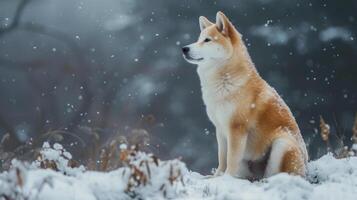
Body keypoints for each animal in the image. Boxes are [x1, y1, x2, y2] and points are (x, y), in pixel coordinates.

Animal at [182, 11, 308, 179]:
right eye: (198, 39)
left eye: (207, 40)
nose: (184, 48)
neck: (224, 82)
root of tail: (307, 169)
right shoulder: (220, 129)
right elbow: (222, 158)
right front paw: (216, 177)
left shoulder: (237, 128)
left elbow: (231, 160)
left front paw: (226, 178)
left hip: (282, 143)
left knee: (276, 174)